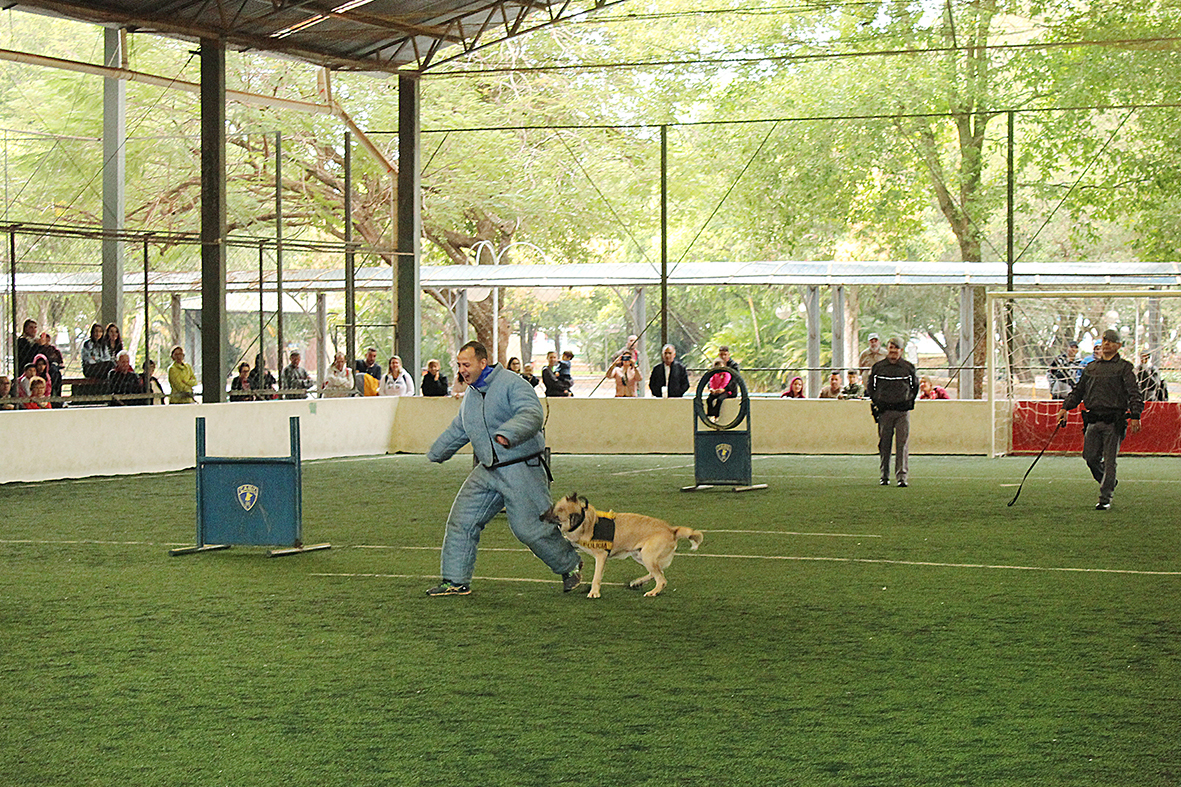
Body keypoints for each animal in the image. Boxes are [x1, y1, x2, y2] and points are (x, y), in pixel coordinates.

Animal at [540, 491, 699, 595]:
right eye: (553, 507)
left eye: (556, 514)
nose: (540, 516)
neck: (584, 521)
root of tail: (672, 530)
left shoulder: (601, 556)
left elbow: (596, 577)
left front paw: (594, 592)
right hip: (640, 555)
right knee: (657, 572)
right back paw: (638, 582)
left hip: (647, 556)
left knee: (661, 578)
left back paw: (653, 591)